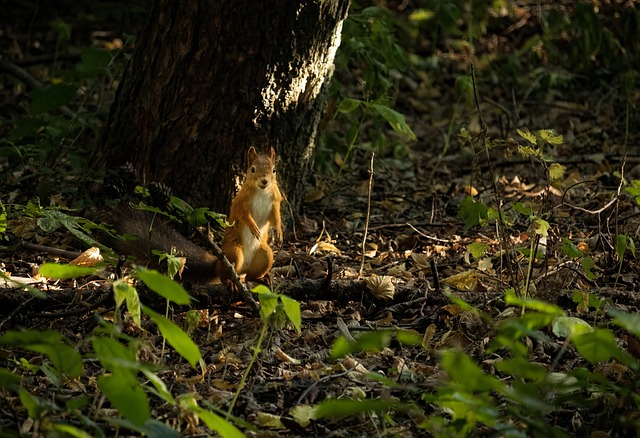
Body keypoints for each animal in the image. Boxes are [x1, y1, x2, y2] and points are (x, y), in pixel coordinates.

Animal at [105, 146, 282, 284]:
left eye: (274, 170)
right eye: (252, 169)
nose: (265, 181)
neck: (261, 191)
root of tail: (218, 264)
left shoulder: (275, 202)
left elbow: (276, 217)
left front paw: (279, 233)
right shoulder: (240, 202)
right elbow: (243, 215)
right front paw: (253, 227)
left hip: (266, 256)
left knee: (251, 274)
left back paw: (261, 278)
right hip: (234, 252)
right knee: (225, 275)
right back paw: (231, 282)